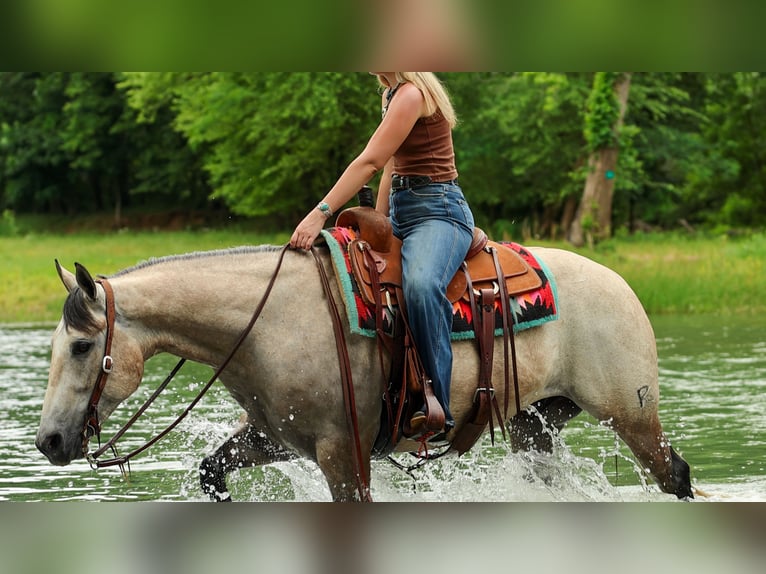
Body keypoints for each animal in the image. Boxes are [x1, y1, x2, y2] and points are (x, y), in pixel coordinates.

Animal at [35, 240, 693, 501]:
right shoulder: (277, 438)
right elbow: (211, 471)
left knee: (676, 476)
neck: (269, 321)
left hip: (632, 414)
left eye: (81, 347)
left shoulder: (342, 451)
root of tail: (621, 284)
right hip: (537, 424)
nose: (48, 443)